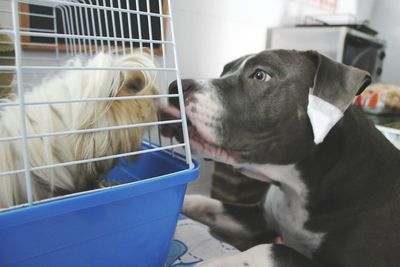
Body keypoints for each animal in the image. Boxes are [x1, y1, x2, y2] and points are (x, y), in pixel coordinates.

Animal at [161, 49, 400, 266]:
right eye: (224, 71)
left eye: (260, 75)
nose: (174, 87)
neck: (296, 188)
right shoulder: (256, 219)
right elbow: (201, 202)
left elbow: (273, 249)